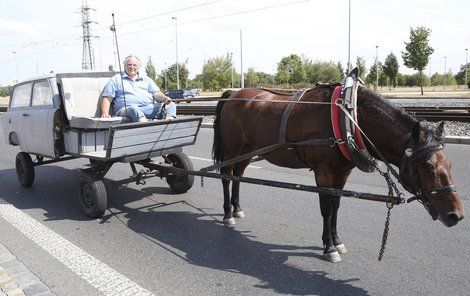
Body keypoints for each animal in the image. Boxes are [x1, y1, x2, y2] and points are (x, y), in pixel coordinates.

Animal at [211, 82, 464, 262]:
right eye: (428, 166)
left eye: (449, 164)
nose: (456, 215)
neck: (347, 119)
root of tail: (233, 95)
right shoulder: (323, 172)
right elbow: (326, 209)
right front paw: (329, 247)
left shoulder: (342, 173)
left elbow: (336, 206)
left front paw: (337, 241)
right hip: (232, 148)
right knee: (225, 175)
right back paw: (227, 214)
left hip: (246, 150)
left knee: (237, 176)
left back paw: (237, 209)